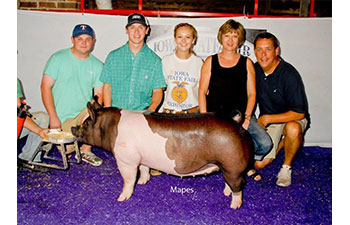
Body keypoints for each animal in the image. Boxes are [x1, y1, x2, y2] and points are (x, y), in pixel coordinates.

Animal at [72, 100, 252, 209]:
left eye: (86, 124)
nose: (73, 128)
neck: (110, 128)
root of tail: (235, 122)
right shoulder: (142, 157)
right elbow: (144, 169)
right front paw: (143, 182)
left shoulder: (126, 159)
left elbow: (129, 179)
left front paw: (121, 198)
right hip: (227, 167)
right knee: (229, 183)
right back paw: (226, 194)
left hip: (233, 166)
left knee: (238, 185)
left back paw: (234, 205)